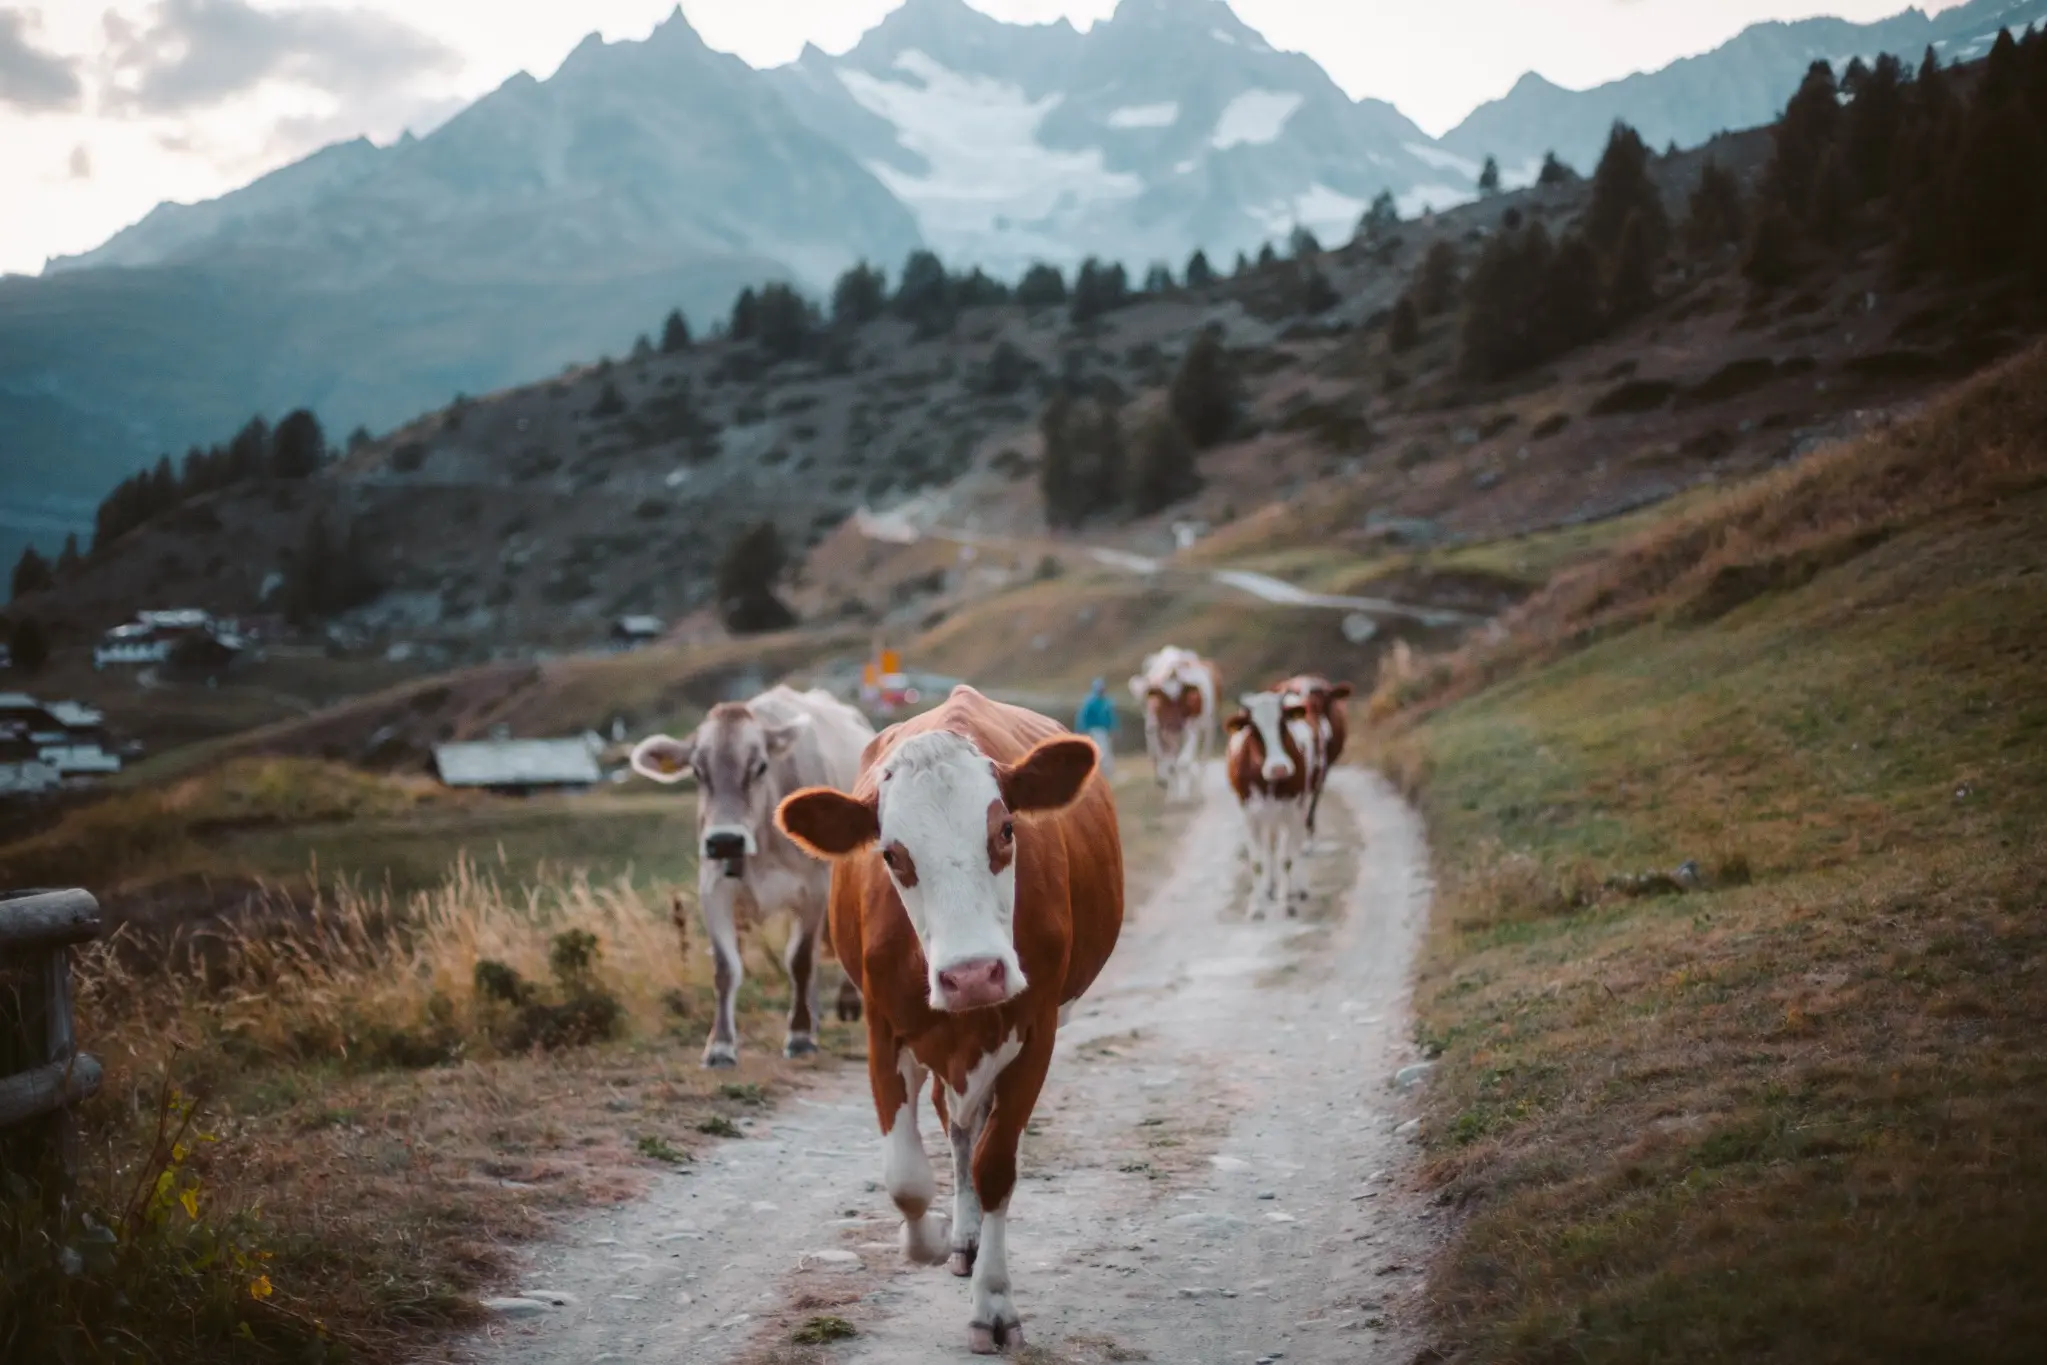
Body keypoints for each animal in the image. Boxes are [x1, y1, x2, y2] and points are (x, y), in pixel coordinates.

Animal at [629, 685, 874, 1067]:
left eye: (759, 766)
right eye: (697, 771)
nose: (725, 840)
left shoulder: (814, 890)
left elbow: (800, 960)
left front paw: (799, 1036)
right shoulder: (714, 890)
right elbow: (726, 968)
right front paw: (720, 1045)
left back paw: (844, 1005)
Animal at [776, 685, 1123, 1355]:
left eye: (1006, 830)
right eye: (891, 854)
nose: (972, 974)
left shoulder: (1037, 1029)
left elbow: (996, 1166)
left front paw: (993, 1304)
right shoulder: (883, 1028)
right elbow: (907, 1176)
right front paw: (930, 1239)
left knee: (974, 1133)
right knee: (954, 1125)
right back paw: (960, 1236)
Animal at [1127, 646, 1220, 803]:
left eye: (1179, 696)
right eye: (1149, 699)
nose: (1151, 724)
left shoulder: (1190, 726)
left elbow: (1183, 762)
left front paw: (1184, 796)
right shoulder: (1159, 733)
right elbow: (1168, 764)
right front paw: (1172, 796)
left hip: (1209, 725)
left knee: (1203, 756)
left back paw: (1198, 790)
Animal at [1225, 686, 1322, 918]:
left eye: (1283, 724)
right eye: (1254, 729)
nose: (1279, 768)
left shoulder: (1291, 810)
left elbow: (1286, 859)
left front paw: (1285, 904)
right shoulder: (1249, 815)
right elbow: (1257, 862)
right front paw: (1255, 907)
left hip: (1301, 807)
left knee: (1295, 844)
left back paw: (1297, 888)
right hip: (1267, 816)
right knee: (1270, 847)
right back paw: (1269, 887)